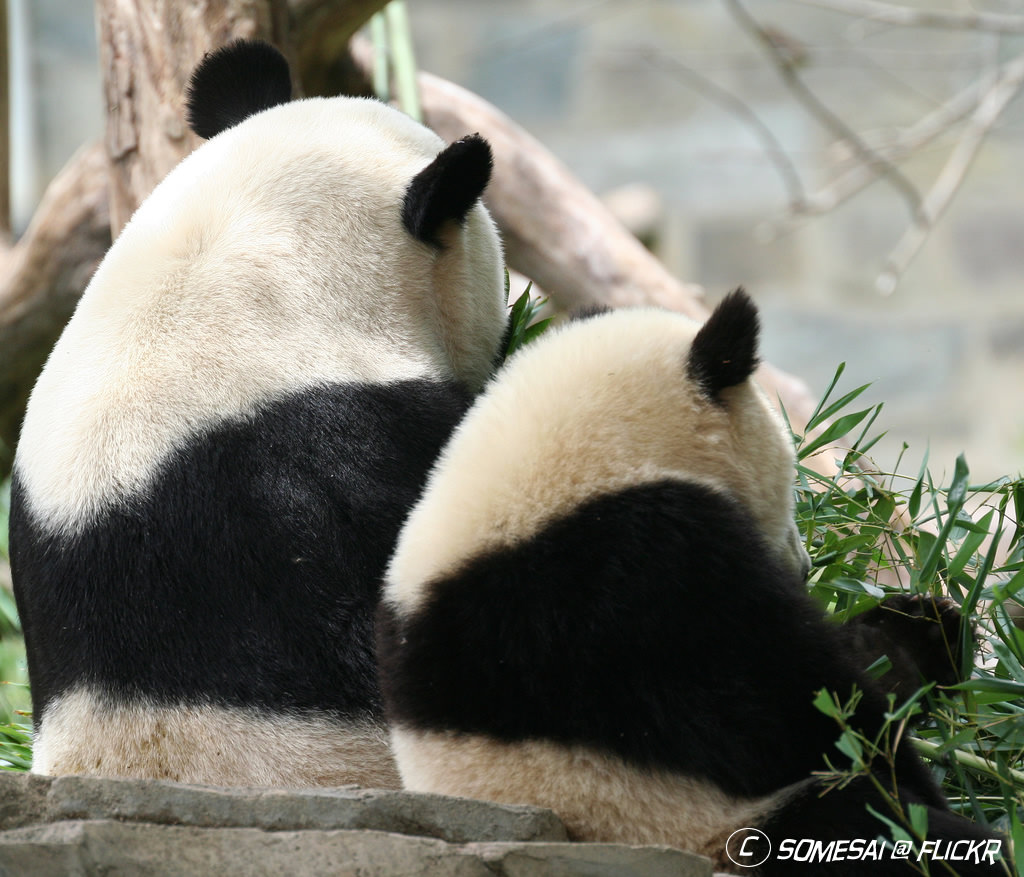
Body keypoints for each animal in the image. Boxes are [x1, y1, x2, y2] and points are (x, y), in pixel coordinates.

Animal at [377, 290, 1008, 875]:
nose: (804, 564)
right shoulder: (648, 574)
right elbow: (797, 711)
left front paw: (918, 634)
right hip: (709, 828)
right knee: (866, 826)